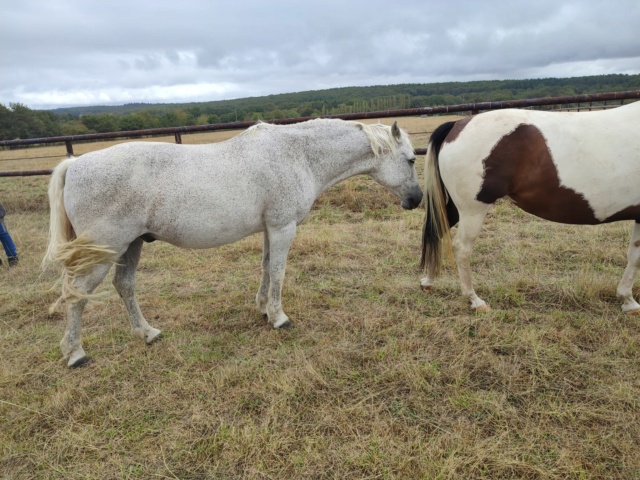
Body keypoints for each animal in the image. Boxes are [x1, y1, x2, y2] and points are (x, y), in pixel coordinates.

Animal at [46, 118, 424, 366]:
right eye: (410, 159)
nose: (417, 200)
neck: (298, 155)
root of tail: (76, 164)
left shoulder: (271, 229)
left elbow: (266, 269)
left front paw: (263, 309)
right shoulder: (284, 227)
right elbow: (279, 272)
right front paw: (280, 318)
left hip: (132, 244)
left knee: (124, 286)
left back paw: (148, 333)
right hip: (105, 250)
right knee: (76, 294)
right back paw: (76, 353)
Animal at [420, 100, 640, 314]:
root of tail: (457, 125)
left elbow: (633, 254)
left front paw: (627, 300)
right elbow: (636, 258)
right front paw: (629, 300)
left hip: (457, 208)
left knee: (436, 230)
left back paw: (428, 281)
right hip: (472, 210)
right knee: (461, 248)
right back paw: (475, 300)